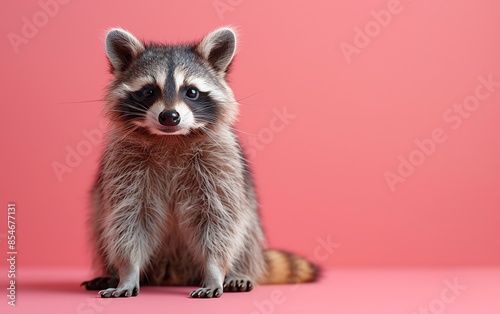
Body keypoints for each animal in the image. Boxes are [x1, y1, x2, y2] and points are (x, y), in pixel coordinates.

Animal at [81, 25, 316, 298]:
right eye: (149, 91)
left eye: (191, 92)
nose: (169, 116)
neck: (170, 138)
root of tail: (174, 275)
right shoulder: (125, 164)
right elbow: (127, 219)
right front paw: (127, 272)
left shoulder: (219, 162)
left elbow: (219, 218)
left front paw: (215, 271)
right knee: (101, 226)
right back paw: (111, 272)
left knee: (245, 228)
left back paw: (238, 271)